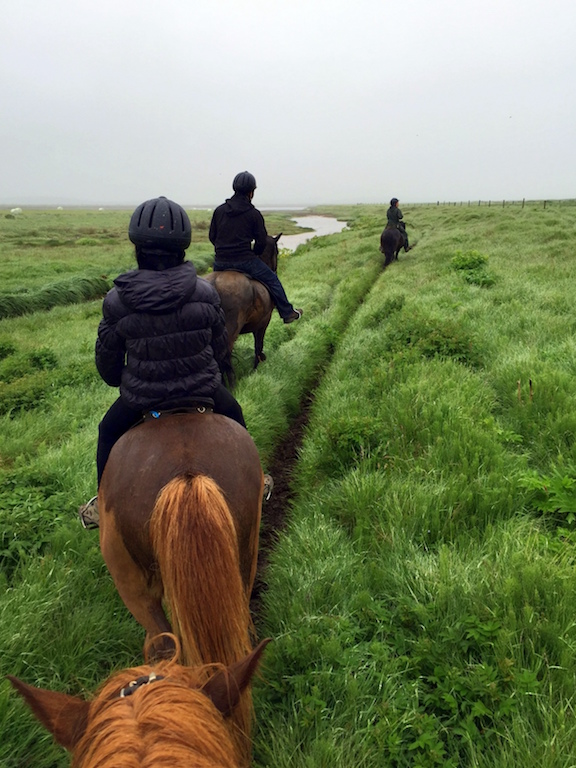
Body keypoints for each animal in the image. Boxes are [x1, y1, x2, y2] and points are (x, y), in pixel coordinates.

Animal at [205, 232, 282, 368]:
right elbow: (258, 347)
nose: (275, 270)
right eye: (277, 251)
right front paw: (257, 367)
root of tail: (214, 285)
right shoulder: (263, 323)